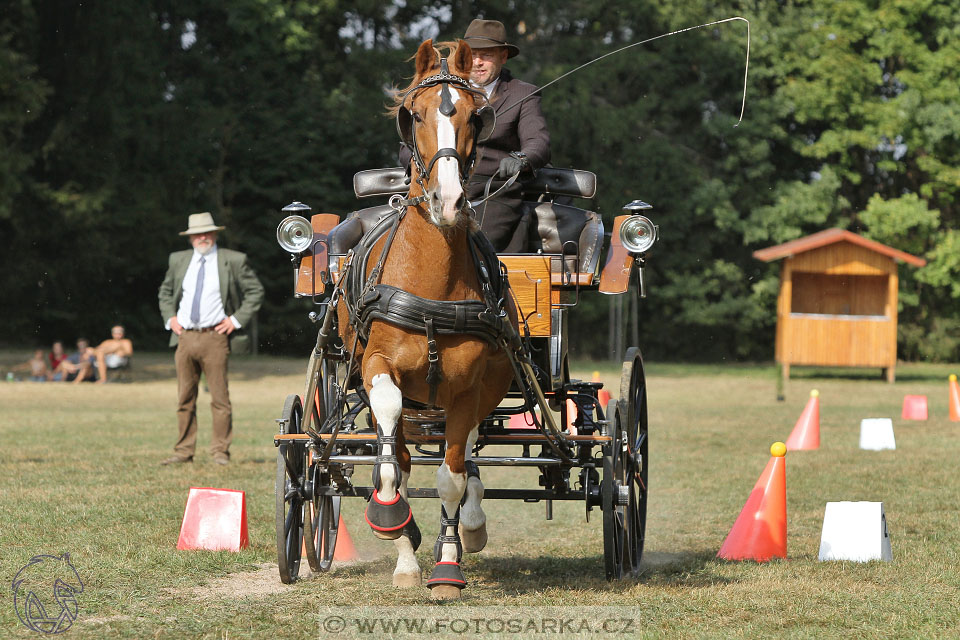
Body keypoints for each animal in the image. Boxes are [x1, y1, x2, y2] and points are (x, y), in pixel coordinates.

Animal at [340, 41, 512, 600]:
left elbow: (452, 478)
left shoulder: (467, 387)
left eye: (475, 116)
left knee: (469, 453)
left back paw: (467, 529)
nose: (448, 200)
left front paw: (449, 565)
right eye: (413, 115)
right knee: (400, 452)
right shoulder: (377, 364)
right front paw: (392, 523)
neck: (432, 282)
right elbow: (391, 456)